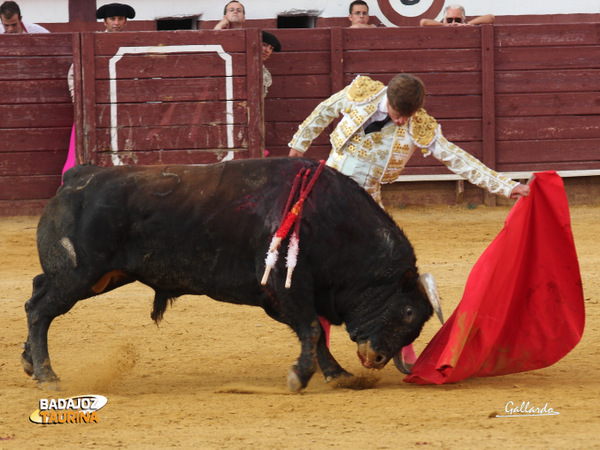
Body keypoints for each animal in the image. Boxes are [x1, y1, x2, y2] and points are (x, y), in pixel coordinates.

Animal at [21, 157, 440, 390]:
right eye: (407, 312)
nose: (377, 358)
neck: (333, 223)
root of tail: (76, 178)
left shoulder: (286, 296)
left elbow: (316, 335)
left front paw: (338, 375)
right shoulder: (286, 288)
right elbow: (312, 330)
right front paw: (301, 378)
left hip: (100, 276)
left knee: (36, 295)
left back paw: (29, 363)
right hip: (78, 275)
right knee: (40, 311)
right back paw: (47, 375)